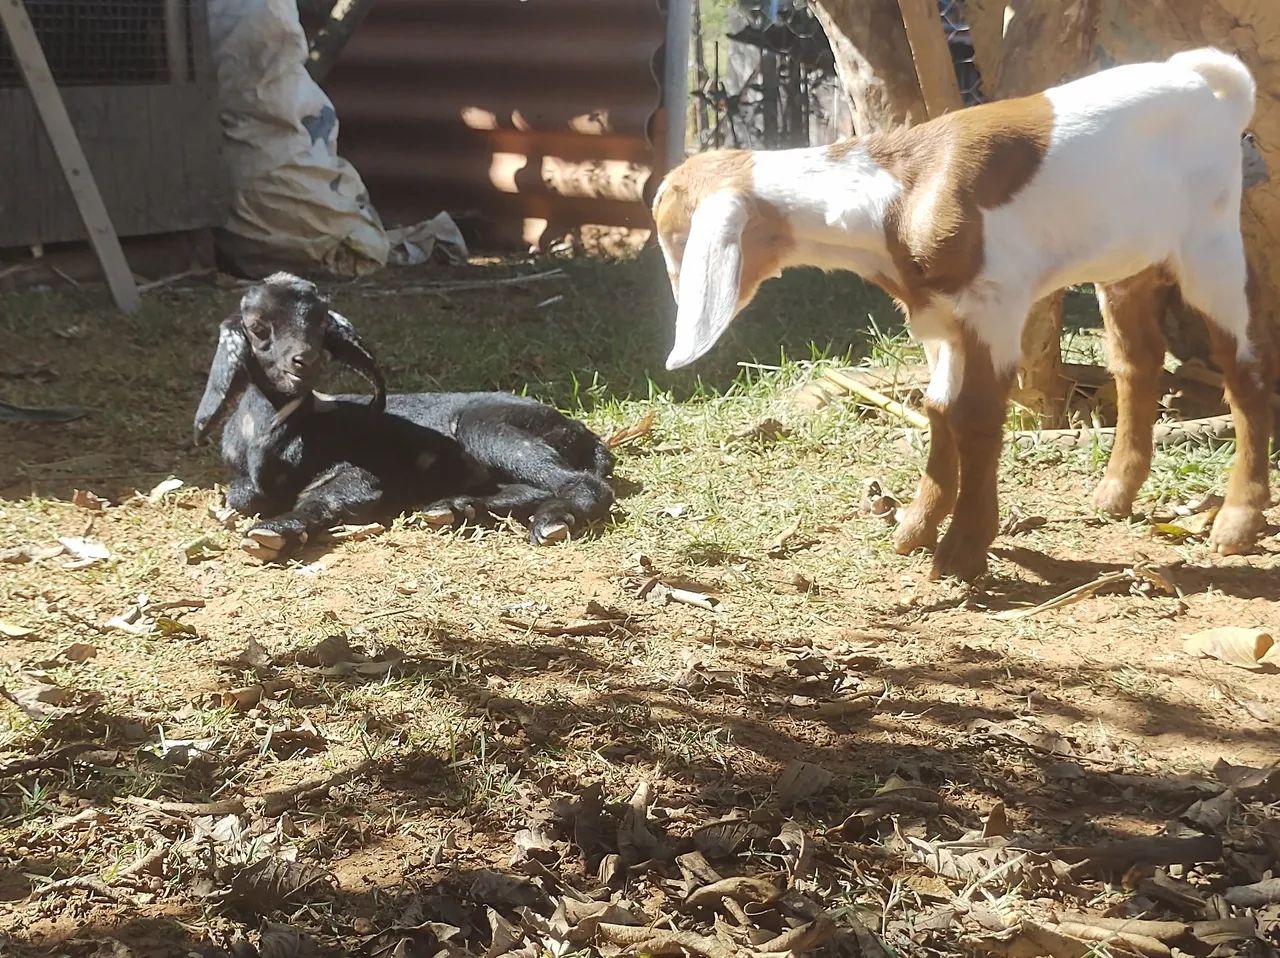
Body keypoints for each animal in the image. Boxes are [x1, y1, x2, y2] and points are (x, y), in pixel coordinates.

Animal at [193, 273, 615, 561]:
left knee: (579, 483)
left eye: (320, 323)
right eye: (257, 328)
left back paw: (551, 521)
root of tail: (589, 438)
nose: (303, 360)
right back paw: (455, 508)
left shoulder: (362, 474)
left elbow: (324, 497)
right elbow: (242, 496)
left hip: (487, 429)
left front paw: (276, 531)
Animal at [651, 48, 1275, 581]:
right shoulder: (937, 317)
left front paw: (963, 549)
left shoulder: (993, 304)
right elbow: (938, 407)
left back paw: (1237, 522)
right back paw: (1115, 492)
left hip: (1210, 247)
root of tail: (1212, 87)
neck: (898, 195)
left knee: (1243, 370)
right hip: (1126, 262)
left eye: (675, 235)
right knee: (1137, 363)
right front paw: (916, 526)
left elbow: (976, 416)